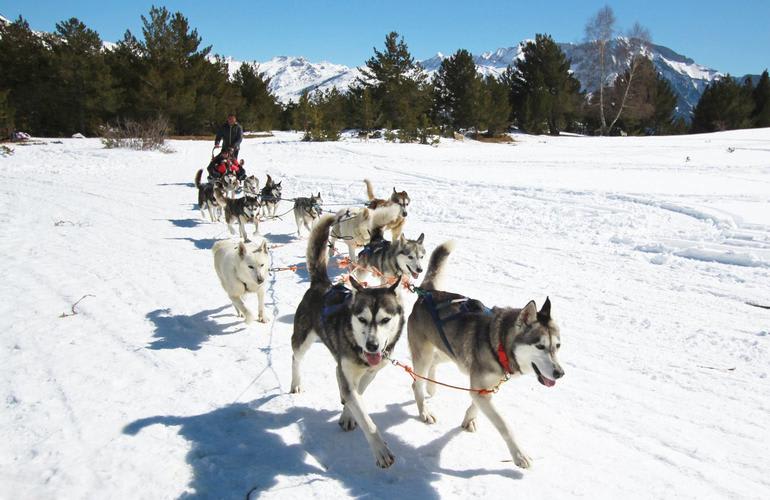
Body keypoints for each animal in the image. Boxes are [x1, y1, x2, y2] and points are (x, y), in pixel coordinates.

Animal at [292, 215, 404, 468]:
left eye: (385, 320)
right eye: (362, 319)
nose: (372, 346)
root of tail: (322, 284)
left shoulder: (371, 372)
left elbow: (357, 394)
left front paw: (347, 414)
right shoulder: (351, 372)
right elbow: (366, 419)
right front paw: (380, 450)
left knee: (337, 371)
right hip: (301, 340)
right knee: (296, 358)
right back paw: (296, 383)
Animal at [404, 241, 560, 468]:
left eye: (558, 346)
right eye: (540, 346)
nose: (560, 373)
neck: (500, 345)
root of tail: (429, 293)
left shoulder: (485, 387)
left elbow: (475, 405)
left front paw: (469, 419)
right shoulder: (480, 386)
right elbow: (504, 425)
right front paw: (519, 454)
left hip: (451, 351)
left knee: (434, 364)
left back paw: (431, 387)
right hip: (424, 354)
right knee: (417, 383)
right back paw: (424, 410)